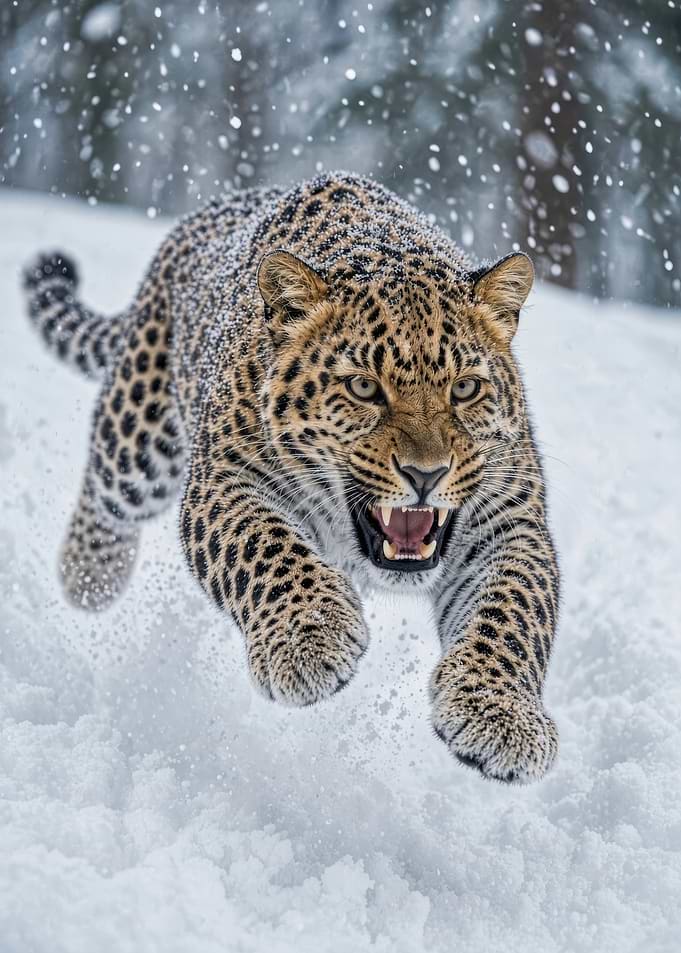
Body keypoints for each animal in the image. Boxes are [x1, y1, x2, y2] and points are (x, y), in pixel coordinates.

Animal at [22, 171, 560, 783]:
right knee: (109, 484)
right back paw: (88, 575)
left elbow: (512, 612)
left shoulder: (509, 522)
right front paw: (309, 640)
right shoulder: (223, 481)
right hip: (141, 436)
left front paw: (501, 714)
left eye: (466, 388)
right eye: (364, 387)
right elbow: (266, 546)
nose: (426, 474)